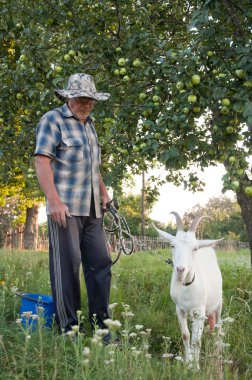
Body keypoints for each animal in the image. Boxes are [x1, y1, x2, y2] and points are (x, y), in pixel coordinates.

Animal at [154, 212, 222, 366]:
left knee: (219, 325)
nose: (180, 270)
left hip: (219, 303)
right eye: (172, 245)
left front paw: (195, 367)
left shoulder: (199, 312)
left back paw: (218, 350)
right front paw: (187, 361)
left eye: (194, 248)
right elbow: (186, 335)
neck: (187, 287)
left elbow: (196, 341)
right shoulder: (179, 309)